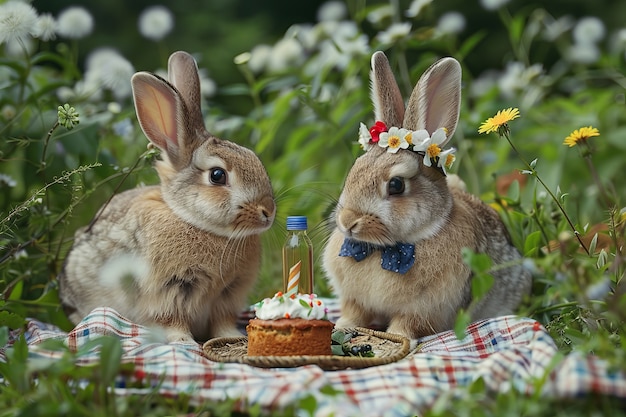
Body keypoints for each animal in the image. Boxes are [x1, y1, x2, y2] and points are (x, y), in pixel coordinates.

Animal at [57, 50, 274, 342]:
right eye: (217, 175)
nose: (268, 212)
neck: (196, 223)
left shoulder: (227, 295)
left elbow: (222, 321)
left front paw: (232, 337)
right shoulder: (169, 291)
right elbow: (173, 321)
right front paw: (183, 342)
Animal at [322, 51, 532, 338]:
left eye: (396, 185)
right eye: (354, 170)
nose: (348, 222)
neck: (386, 251)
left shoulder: (424, 310)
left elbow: (406, 325)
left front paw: (397, 338)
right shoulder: (355, 301)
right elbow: (354, 314)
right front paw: (342, 327)